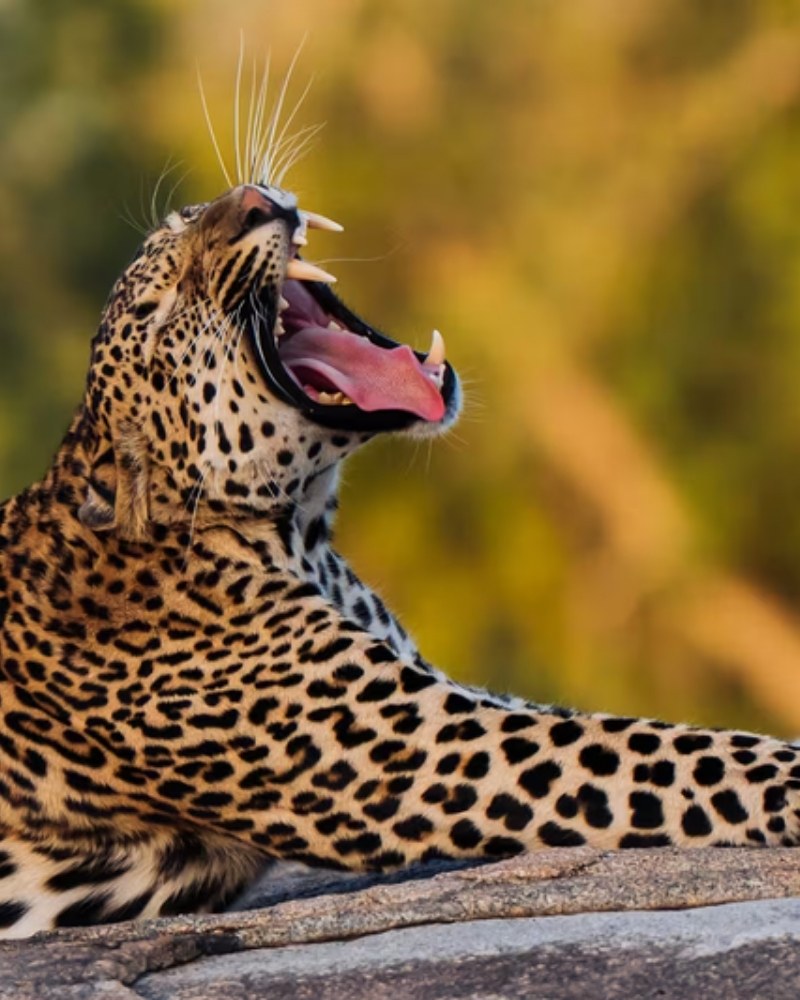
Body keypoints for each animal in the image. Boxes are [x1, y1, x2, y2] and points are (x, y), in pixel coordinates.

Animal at [0, 178, 796, 939]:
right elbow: (677, 751)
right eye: (163, 309)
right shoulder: (445, 745)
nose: (252, 201)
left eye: (188, 217)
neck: (296, 532)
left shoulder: (439, 688)